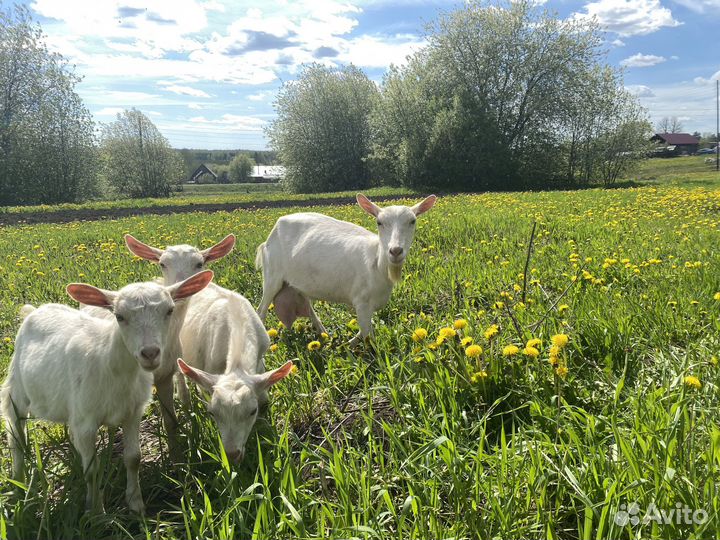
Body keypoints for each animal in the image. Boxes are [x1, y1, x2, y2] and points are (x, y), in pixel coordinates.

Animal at [1, 271, 213, 513]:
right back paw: (19, 486)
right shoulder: (86, 422)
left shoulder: (132, 413)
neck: (111, 365)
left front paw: (136, 505)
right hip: (15, 390)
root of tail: (34, 311)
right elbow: (92, 470)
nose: (150, 353)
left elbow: (133, 458)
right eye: (119, 316)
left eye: (169, 310)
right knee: (15, 436)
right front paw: (96, 512)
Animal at [256, 194, 436, 345]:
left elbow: (365, 329)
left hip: (298, 282)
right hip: (272, 275)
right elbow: (368, 336)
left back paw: (324, 333)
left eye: (412, 221)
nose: (395, 251)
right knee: (261, 310)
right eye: (379, 222)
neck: (377, 263)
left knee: (308, 306)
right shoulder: (362, 301)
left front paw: (347, 344)